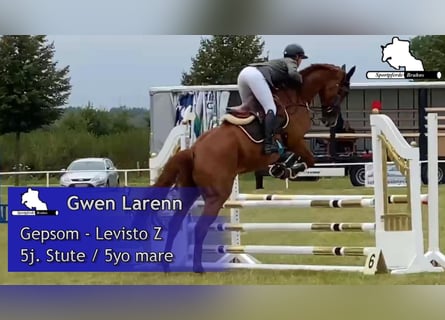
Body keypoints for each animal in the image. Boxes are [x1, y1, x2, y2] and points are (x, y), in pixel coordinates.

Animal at [152, 62, 354, 272]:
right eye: (343, 90)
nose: (331, 121)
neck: (296, 96)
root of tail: (193, 150)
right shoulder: (295, 140)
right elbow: (309, 160)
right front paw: (288, 169)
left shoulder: (292, 143)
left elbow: (295, 158)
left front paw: (281, 168)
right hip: (217, 195)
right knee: (200, 228)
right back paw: (198, 268)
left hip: (189, 192)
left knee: (175, 223)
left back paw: (167, 266)